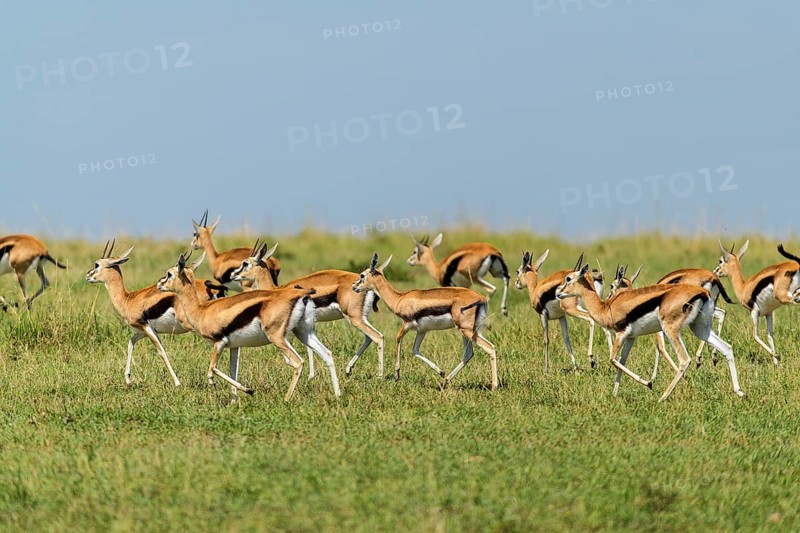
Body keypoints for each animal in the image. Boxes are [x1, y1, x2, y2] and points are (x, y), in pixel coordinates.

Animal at [86, 241, 228, 387]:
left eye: (97, 265)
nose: (87, 275)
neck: (128, 299)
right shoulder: (142, 331)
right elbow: (131, 343)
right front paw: (128, 379)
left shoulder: (146, 328)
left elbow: (161, 351)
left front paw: (177, 383)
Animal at [157, 251, 340, 402]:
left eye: (169, 273)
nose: (159, 284)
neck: (202, 310)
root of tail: (302, 293)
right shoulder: (234, 347)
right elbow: (233, 371)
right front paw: (234, 402)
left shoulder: (219, 343)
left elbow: (212, 370)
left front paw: (249, 390)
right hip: (304, 332)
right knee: (326, 354)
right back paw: (338, 395)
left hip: (277, 337)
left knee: (298, 362)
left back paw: (286, 400)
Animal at [230, 241, 384, 378]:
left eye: (245, 263)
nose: (232, 275)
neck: (277, 289)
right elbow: (310, 347)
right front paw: (311, 375)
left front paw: (310, 375)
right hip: (360, 318)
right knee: (369, 337)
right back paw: (348, 370)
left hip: (354, 318)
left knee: (377, 337)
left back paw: (380, 376)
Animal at [352, 253, 498, 390]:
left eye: (362, 275)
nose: (354, 286)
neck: (399, 299)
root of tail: (481, 299)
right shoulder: (422, 330)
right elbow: (415, 350)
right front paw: (441, 371)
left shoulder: (406, 324)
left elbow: (398, 339)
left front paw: (397, 375)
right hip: (470, 331)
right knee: (468, 354)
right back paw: (446, 381)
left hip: (466, 331)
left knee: (489, 347)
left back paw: (494, 386)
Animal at [556, 257, 744, 401]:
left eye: (568, 278)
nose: (558, 293)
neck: (605, 307)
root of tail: (703, 291)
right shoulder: (631, 338)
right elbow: (622, 362)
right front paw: (615, 394)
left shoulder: (621, 334)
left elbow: (613, 359)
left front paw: (648, 382)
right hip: (699, 328)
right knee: (726, 347)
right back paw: (739, 391)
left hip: (671, 330)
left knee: (684, 360)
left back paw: (663, 397)